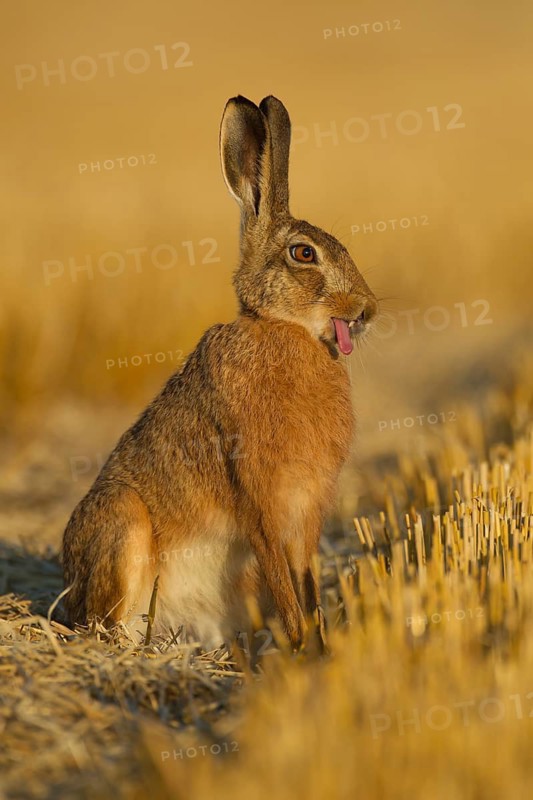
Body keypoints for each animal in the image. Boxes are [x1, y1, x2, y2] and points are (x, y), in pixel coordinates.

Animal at [62, 94, 378, 653]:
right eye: (304, 253)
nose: (368, 309)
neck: (282, 327)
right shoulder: (260, 501)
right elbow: (285, 582)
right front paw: (302, 648)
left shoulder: (308, 512)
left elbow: (306, 580)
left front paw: (319, 647)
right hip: (124, 524)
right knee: (106, 623)